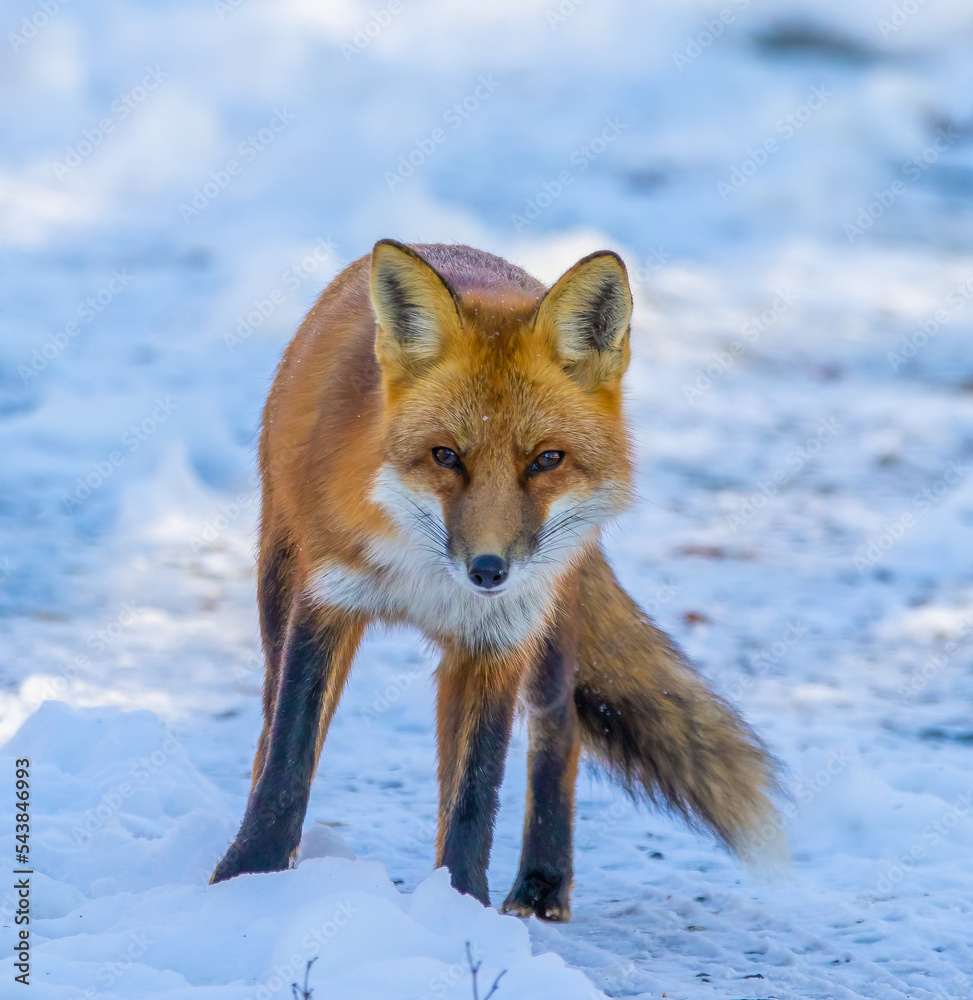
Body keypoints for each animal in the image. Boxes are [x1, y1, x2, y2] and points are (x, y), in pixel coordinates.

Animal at [210, 239, 781, 921]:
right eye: (446, 456)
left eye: (546, 460)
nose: (487, 569)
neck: (428, 577)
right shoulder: (328, 601)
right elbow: (288, 762)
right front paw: (248, 878)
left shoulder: (497, 640)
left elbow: (474, 798)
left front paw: (461, 912)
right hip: (278, 587)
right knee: (270, 720)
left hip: (548, 628)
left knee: (559, 731)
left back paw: (542, 881)